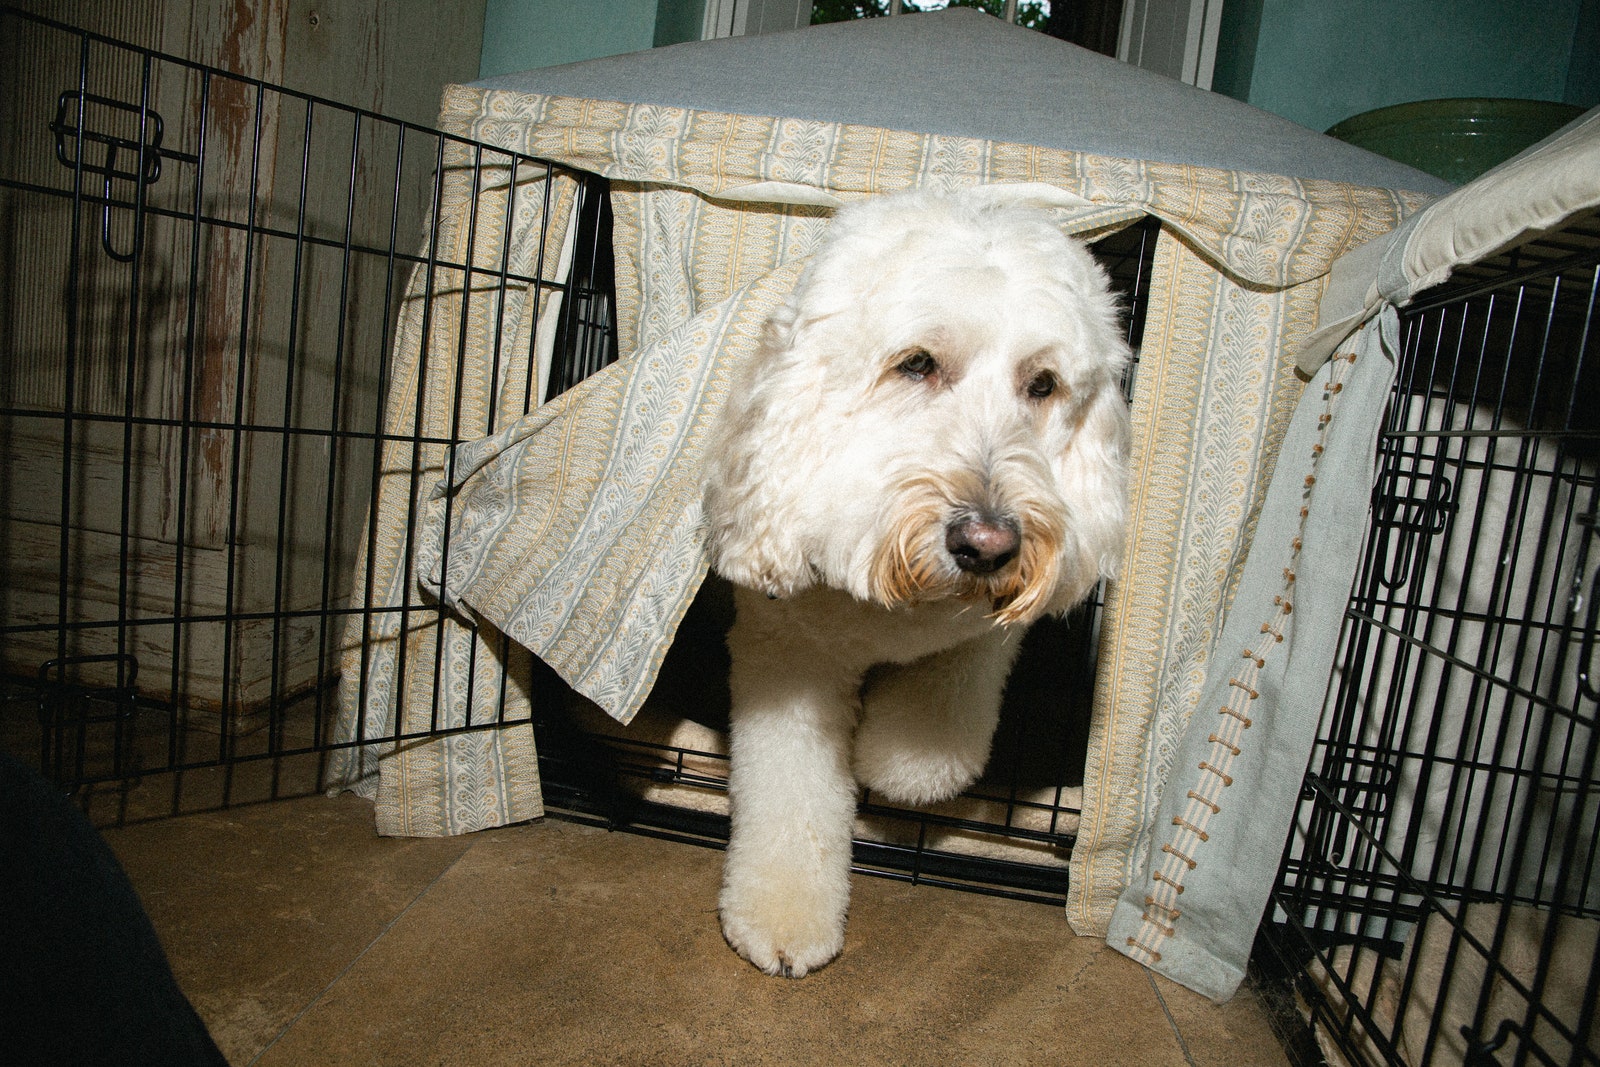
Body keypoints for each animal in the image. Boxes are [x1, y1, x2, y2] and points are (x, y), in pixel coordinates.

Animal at [707, 185, 1132, 979]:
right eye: (916, 363)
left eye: (1043, 383)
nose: (988, 545)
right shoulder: (790, 653)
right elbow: (791, 793)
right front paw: (783, 916)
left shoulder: (984, 638)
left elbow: (938, 741)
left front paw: (891, 762)